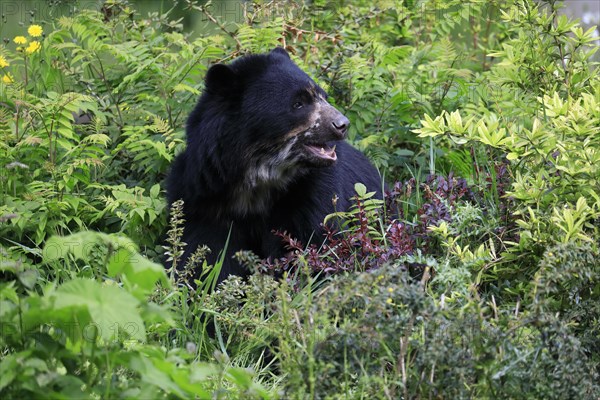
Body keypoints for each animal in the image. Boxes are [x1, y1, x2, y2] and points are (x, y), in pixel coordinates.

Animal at [166, 47, 382, 284]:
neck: (258, 174)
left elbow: (309, 240)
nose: (342, 124)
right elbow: (207, 251)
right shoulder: (205, 194)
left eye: (323, 96)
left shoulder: (312, 194)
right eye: (298, 103)